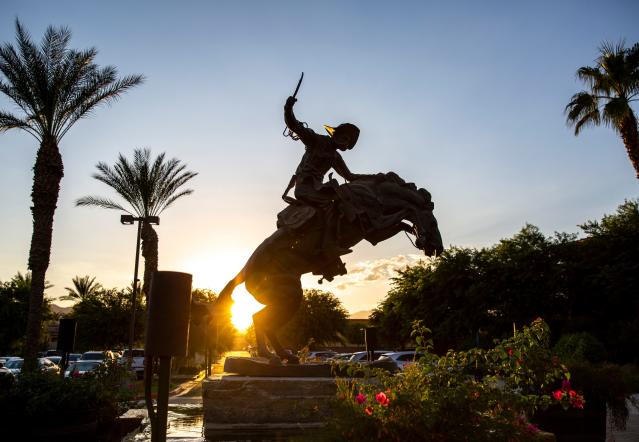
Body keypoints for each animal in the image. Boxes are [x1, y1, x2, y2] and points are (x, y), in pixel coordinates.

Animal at [218, 172, 442, 362]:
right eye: (433, 222)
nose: (437, 248)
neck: (376, 195)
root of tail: (246, 272)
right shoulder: (374, 224)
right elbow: (404, 211)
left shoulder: (374, 232)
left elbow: (400, 221)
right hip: (289, 296)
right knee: (263, 320)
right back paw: (275, 355)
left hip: (284, 299)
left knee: (258, 319)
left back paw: (277, 355)